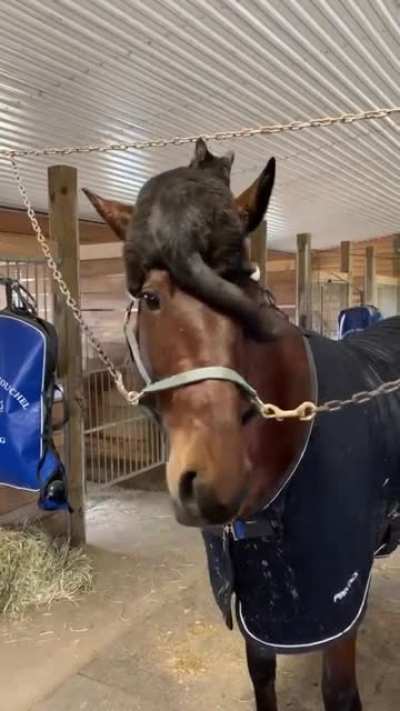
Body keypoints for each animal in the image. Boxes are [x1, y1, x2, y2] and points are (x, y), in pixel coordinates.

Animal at [85, 156, 400, 711]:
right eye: (151, 298)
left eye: (248, 293)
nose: (213, 482)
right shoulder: (258, 605)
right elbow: (261, 674)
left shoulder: (336, 613)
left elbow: (339, 693)